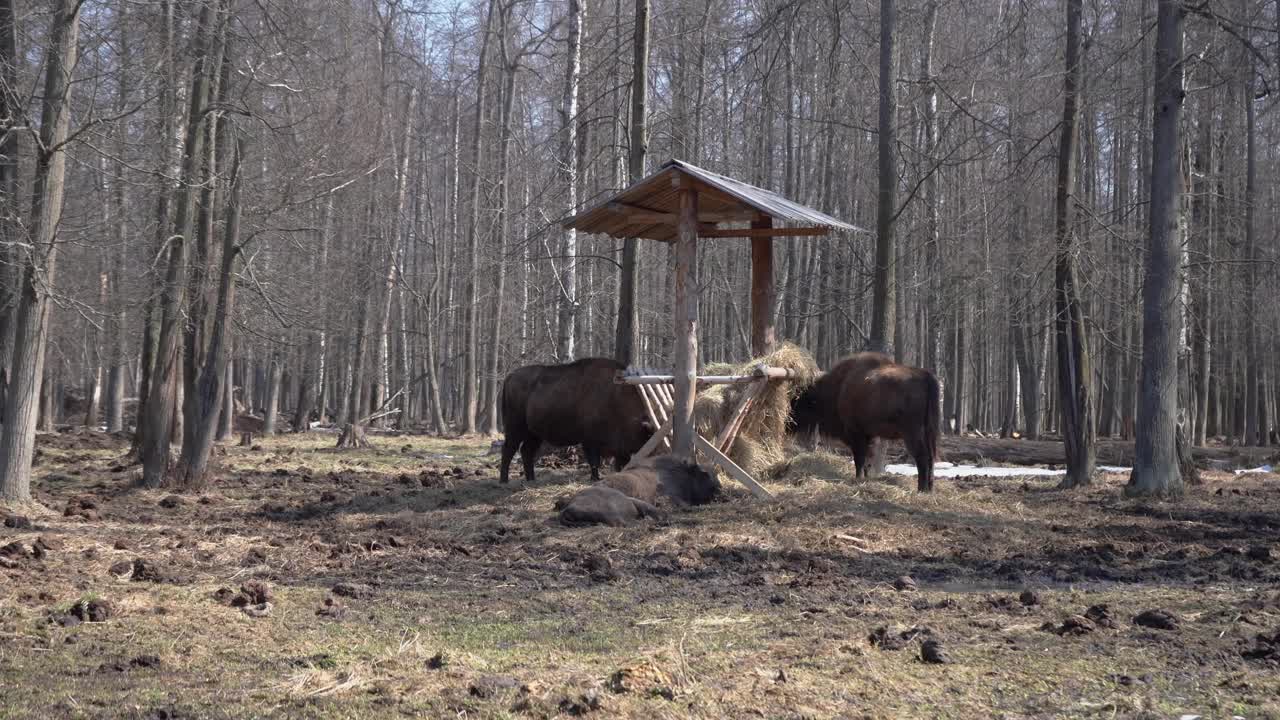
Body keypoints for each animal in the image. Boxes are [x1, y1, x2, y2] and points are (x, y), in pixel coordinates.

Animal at [499, 356, 655, 481]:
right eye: (646, 438)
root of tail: (509, 377)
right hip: (515, 428)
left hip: (534, 434)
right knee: (508, 450)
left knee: (526, 451)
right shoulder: (590, 440)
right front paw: (595, 478)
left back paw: (531, 479)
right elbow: (594, 461)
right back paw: (504, 481)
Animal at [788, 351, 942, 489]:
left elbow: (860, 458)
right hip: (927, 431)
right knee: (930, 458)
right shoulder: (869, 435)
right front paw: (866, 478)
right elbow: (868, 458)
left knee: (922, 457)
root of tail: (925, 376)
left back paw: (921, 489)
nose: (787, 422)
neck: (839, 388)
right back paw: (930, 488)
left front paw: (858, 478)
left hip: (912, 433)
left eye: (795, 400)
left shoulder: (856, 433)